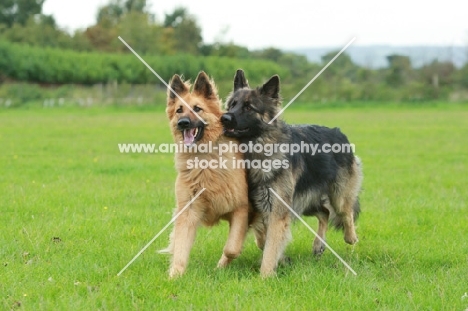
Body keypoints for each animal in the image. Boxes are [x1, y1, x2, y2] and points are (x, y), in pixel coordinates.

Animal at [221, 70, 364, 278]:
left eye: (248, 107)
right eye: (232, 104)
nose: (224, 118)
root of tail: (338, 133)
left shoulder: (277, 211)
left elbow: (270, 246)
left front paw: (265, 276)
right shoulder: (255, 209)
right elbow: (257, 240)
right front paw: (220, 268)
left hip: (336, 196)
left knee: (345, 212)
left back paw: (351, 237)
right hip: (303, 202)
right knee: (325, 212)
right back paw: (318, 245)